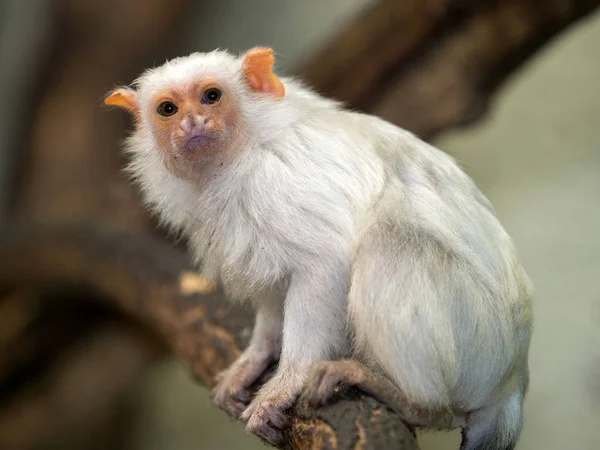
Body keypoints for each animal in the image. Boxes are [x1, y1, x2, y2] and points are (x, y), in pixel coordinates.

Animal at [105, 46, 532, 450]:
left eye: (211, 96)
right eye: (168, 109)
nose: (191, 122)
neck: (238, 156)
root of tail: (513, 378)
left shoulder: (279, 182)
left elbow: (325, 263)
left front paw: (286, 382)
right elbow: (270, 297)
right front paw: (256, 356)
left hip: (478, 344)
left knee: (391, 240)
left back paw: (409, 399)